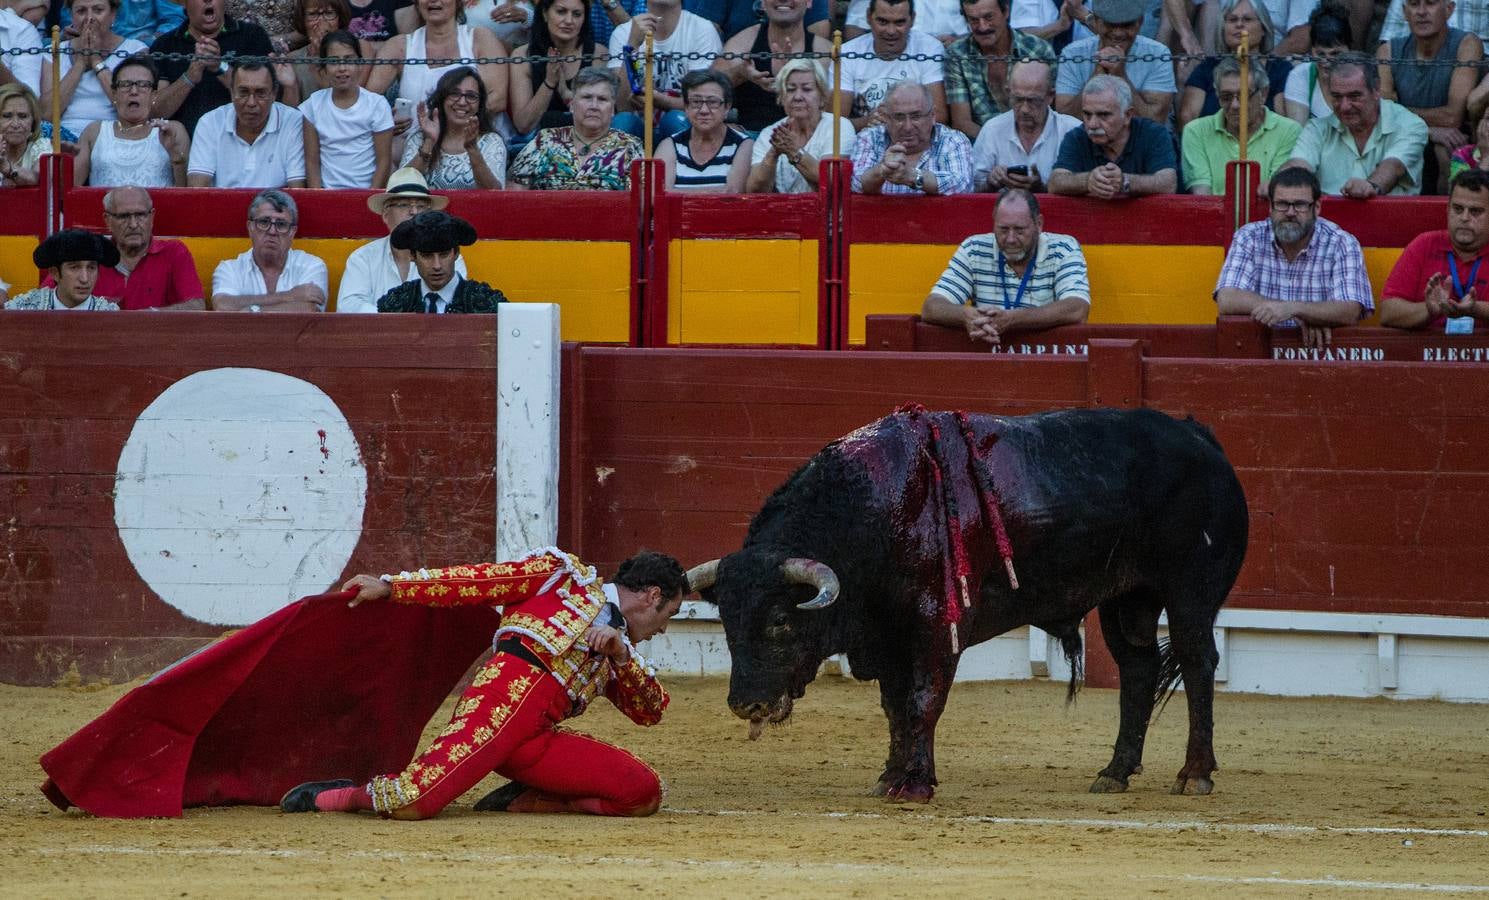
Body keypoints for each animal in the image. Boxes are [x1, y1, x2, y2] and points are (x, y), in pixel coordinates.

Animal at [684, 408, 1244, 798]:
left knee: (1197, 662)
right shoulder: (889, 635)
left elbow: (923, 700)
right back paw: (1115, 772)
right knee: (1138, 668)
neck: (873, 512)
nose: (746, 704)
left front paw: (914, 784)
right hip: (1128, 600)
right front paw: (891, 775)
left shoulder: (935, 626)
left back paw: (1194, 775)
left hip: (1189, 593)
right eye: (726, 622)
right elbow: (895, 707)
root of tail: (1200, 437)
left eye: (780, 620)